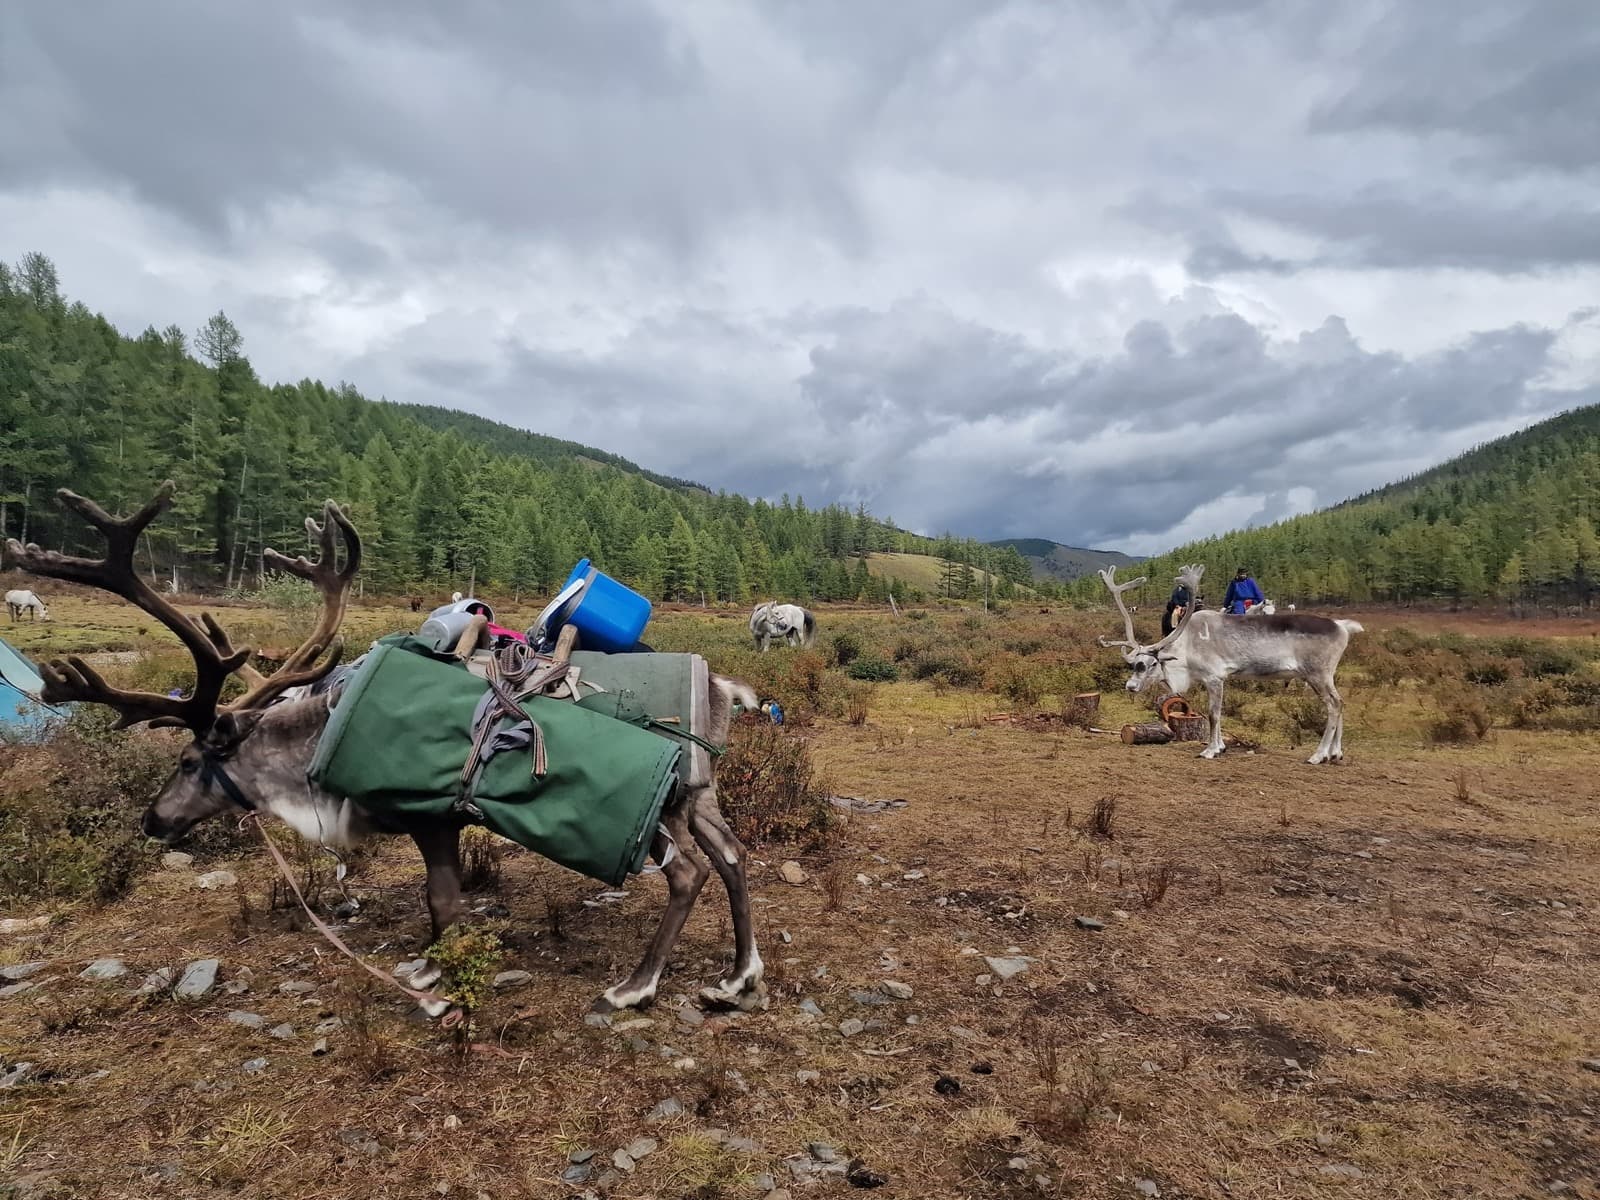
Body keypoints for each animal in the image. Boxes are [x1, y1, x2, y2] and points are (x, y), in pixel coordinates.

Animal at [3, 483, 767, 1019]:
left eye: (189, 763)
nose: (153, 820)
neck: (315, 743)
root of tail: (722, 686)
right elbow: (447, 899)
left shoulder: (430, 816)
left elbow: (444, 901)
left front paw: (432, 973)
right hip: (699, 793)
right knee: (732, 858)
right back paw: (737, 976)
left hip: (664, 808)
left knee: (690, 873)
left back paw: (636, 987)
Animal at [1099, 564, 1363, 764]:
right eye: (1134, 663)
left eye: (1152, 664)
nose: (1131, 686)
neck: (1187, 648)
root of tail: (1343, 626)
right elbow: (1218, 713)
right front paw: (1221, 746)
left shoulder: (1214, 677)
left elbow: (1213, 714)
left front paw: (1210, 750)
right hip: (1327, 674)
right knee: (1341, 702)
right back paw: (1335, 753)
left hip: (1317, 673)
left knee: (1333, 705)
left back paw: (1318, 755)